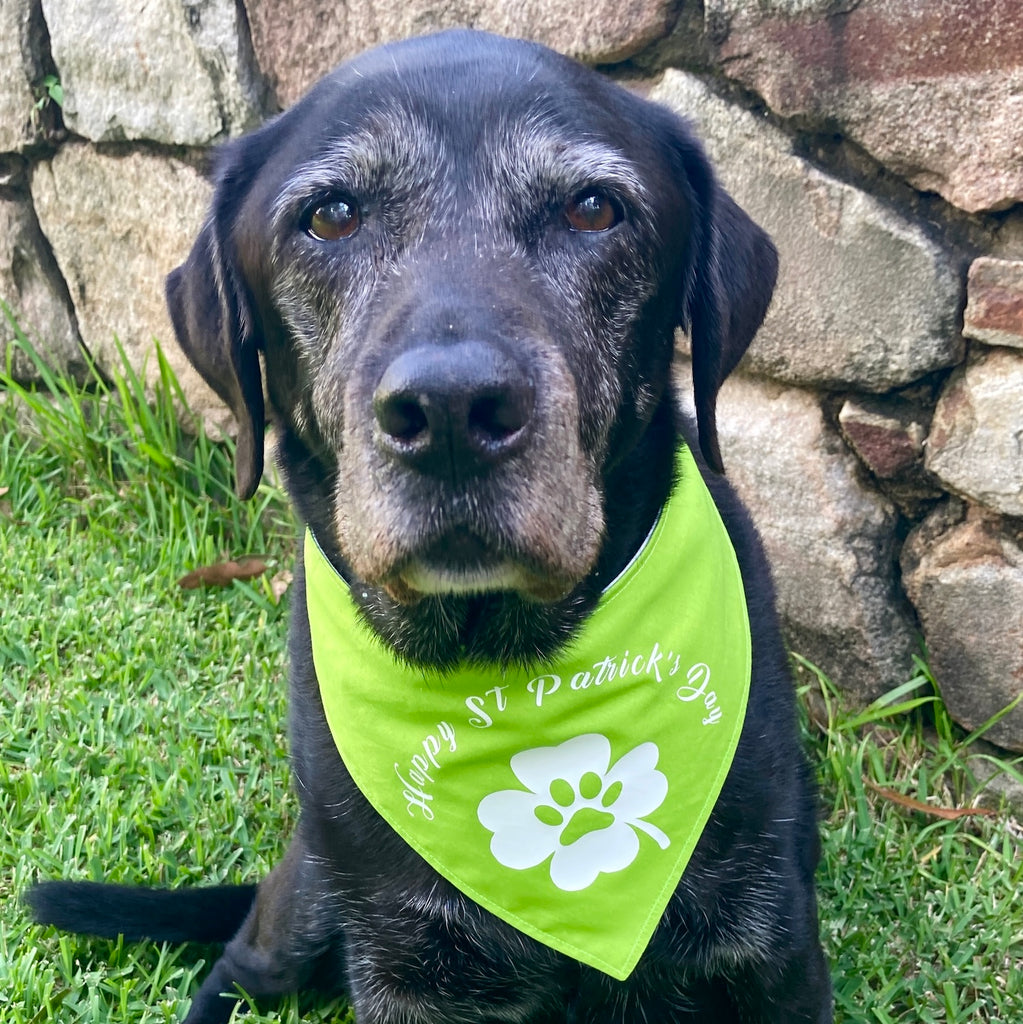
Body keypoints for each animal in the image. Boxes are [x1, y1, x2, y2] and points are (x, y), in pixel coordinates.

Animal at [29, 29, 831, 1024]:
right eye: (331, 216)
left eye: (594, 209)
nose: (451, 411)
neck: (503, 666)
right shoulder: (408, 960)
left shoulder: (764, 950)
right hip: (306, 898)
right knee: (236, 964)